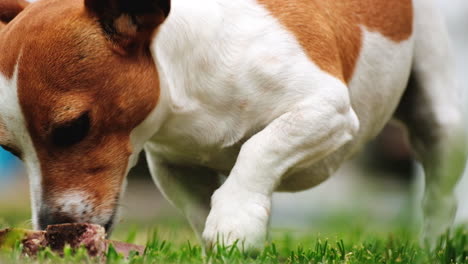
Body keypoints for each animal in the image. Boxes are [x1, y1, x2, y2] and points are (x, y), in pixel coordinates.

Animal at [0, 0, 468, 250]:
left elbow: (259, 149)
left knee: (439, 194)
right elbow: (199, 207)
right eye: (11, 150)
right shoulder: (172, 166)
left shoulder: (326, 110)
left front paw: (235, 219)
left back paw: (433, 246)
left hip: (439, 120)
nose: (53, 228)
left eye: (73, 128)